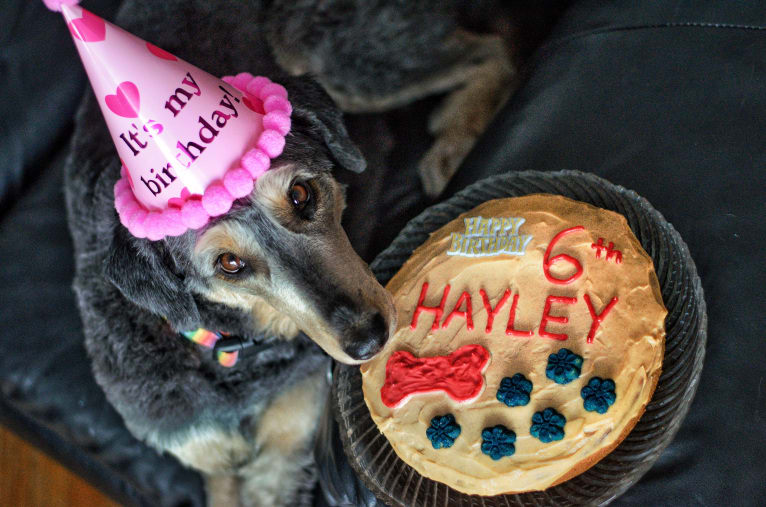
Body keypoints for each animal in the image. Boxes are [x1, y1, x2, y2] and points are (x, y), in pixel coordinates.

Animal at [66, 0, 520, 507]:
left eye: (301, 194)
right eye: (229, 263)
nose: (370, 340)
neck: (234, 349)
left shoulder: (288, 449)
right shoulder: (209, 462)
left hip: (343, 59)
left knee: (491, 50)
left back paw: (455, 139)